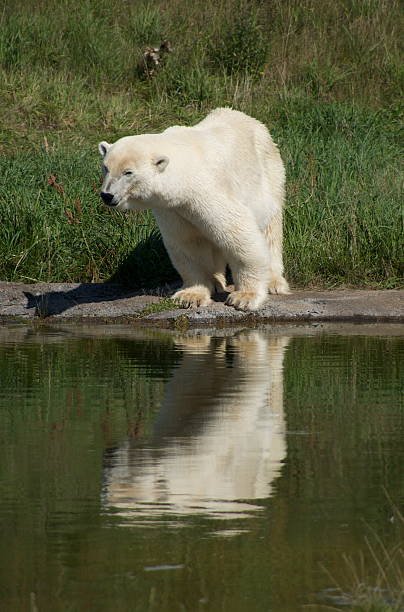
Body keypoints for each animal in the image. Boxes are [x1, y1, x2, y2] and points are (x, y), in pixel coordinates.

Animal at [100, 107, 290, 310]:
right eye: (105, 168)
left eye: (128, 172)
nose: (107, 195)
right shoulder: (173, 208)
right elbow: (189, 243)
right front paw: (190, 296)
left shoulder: (207, 192)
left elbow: (238, 236)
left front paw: (244, 297)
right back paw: (217, 281)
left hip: (269, 174)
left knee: (270, 229)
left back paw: (274, 282)